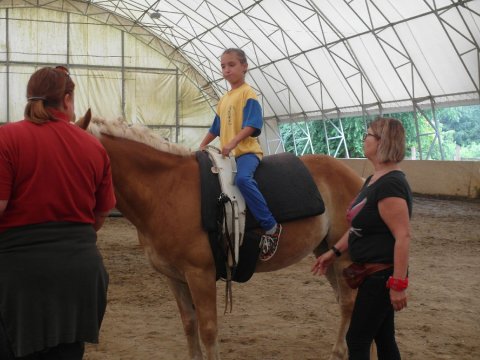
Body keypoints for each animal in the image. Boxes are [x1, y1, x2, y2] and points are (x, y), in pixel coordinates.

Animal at [78, 111, 364, 358]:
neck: (166, 190)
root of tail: (357, 178)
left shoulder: (200, 275)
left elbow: (208, 331)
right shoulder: (174, 277)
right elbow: (189, 325)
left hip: (344, 257)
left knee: (348, 303)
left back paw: (339, 352)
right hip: (325, 254)